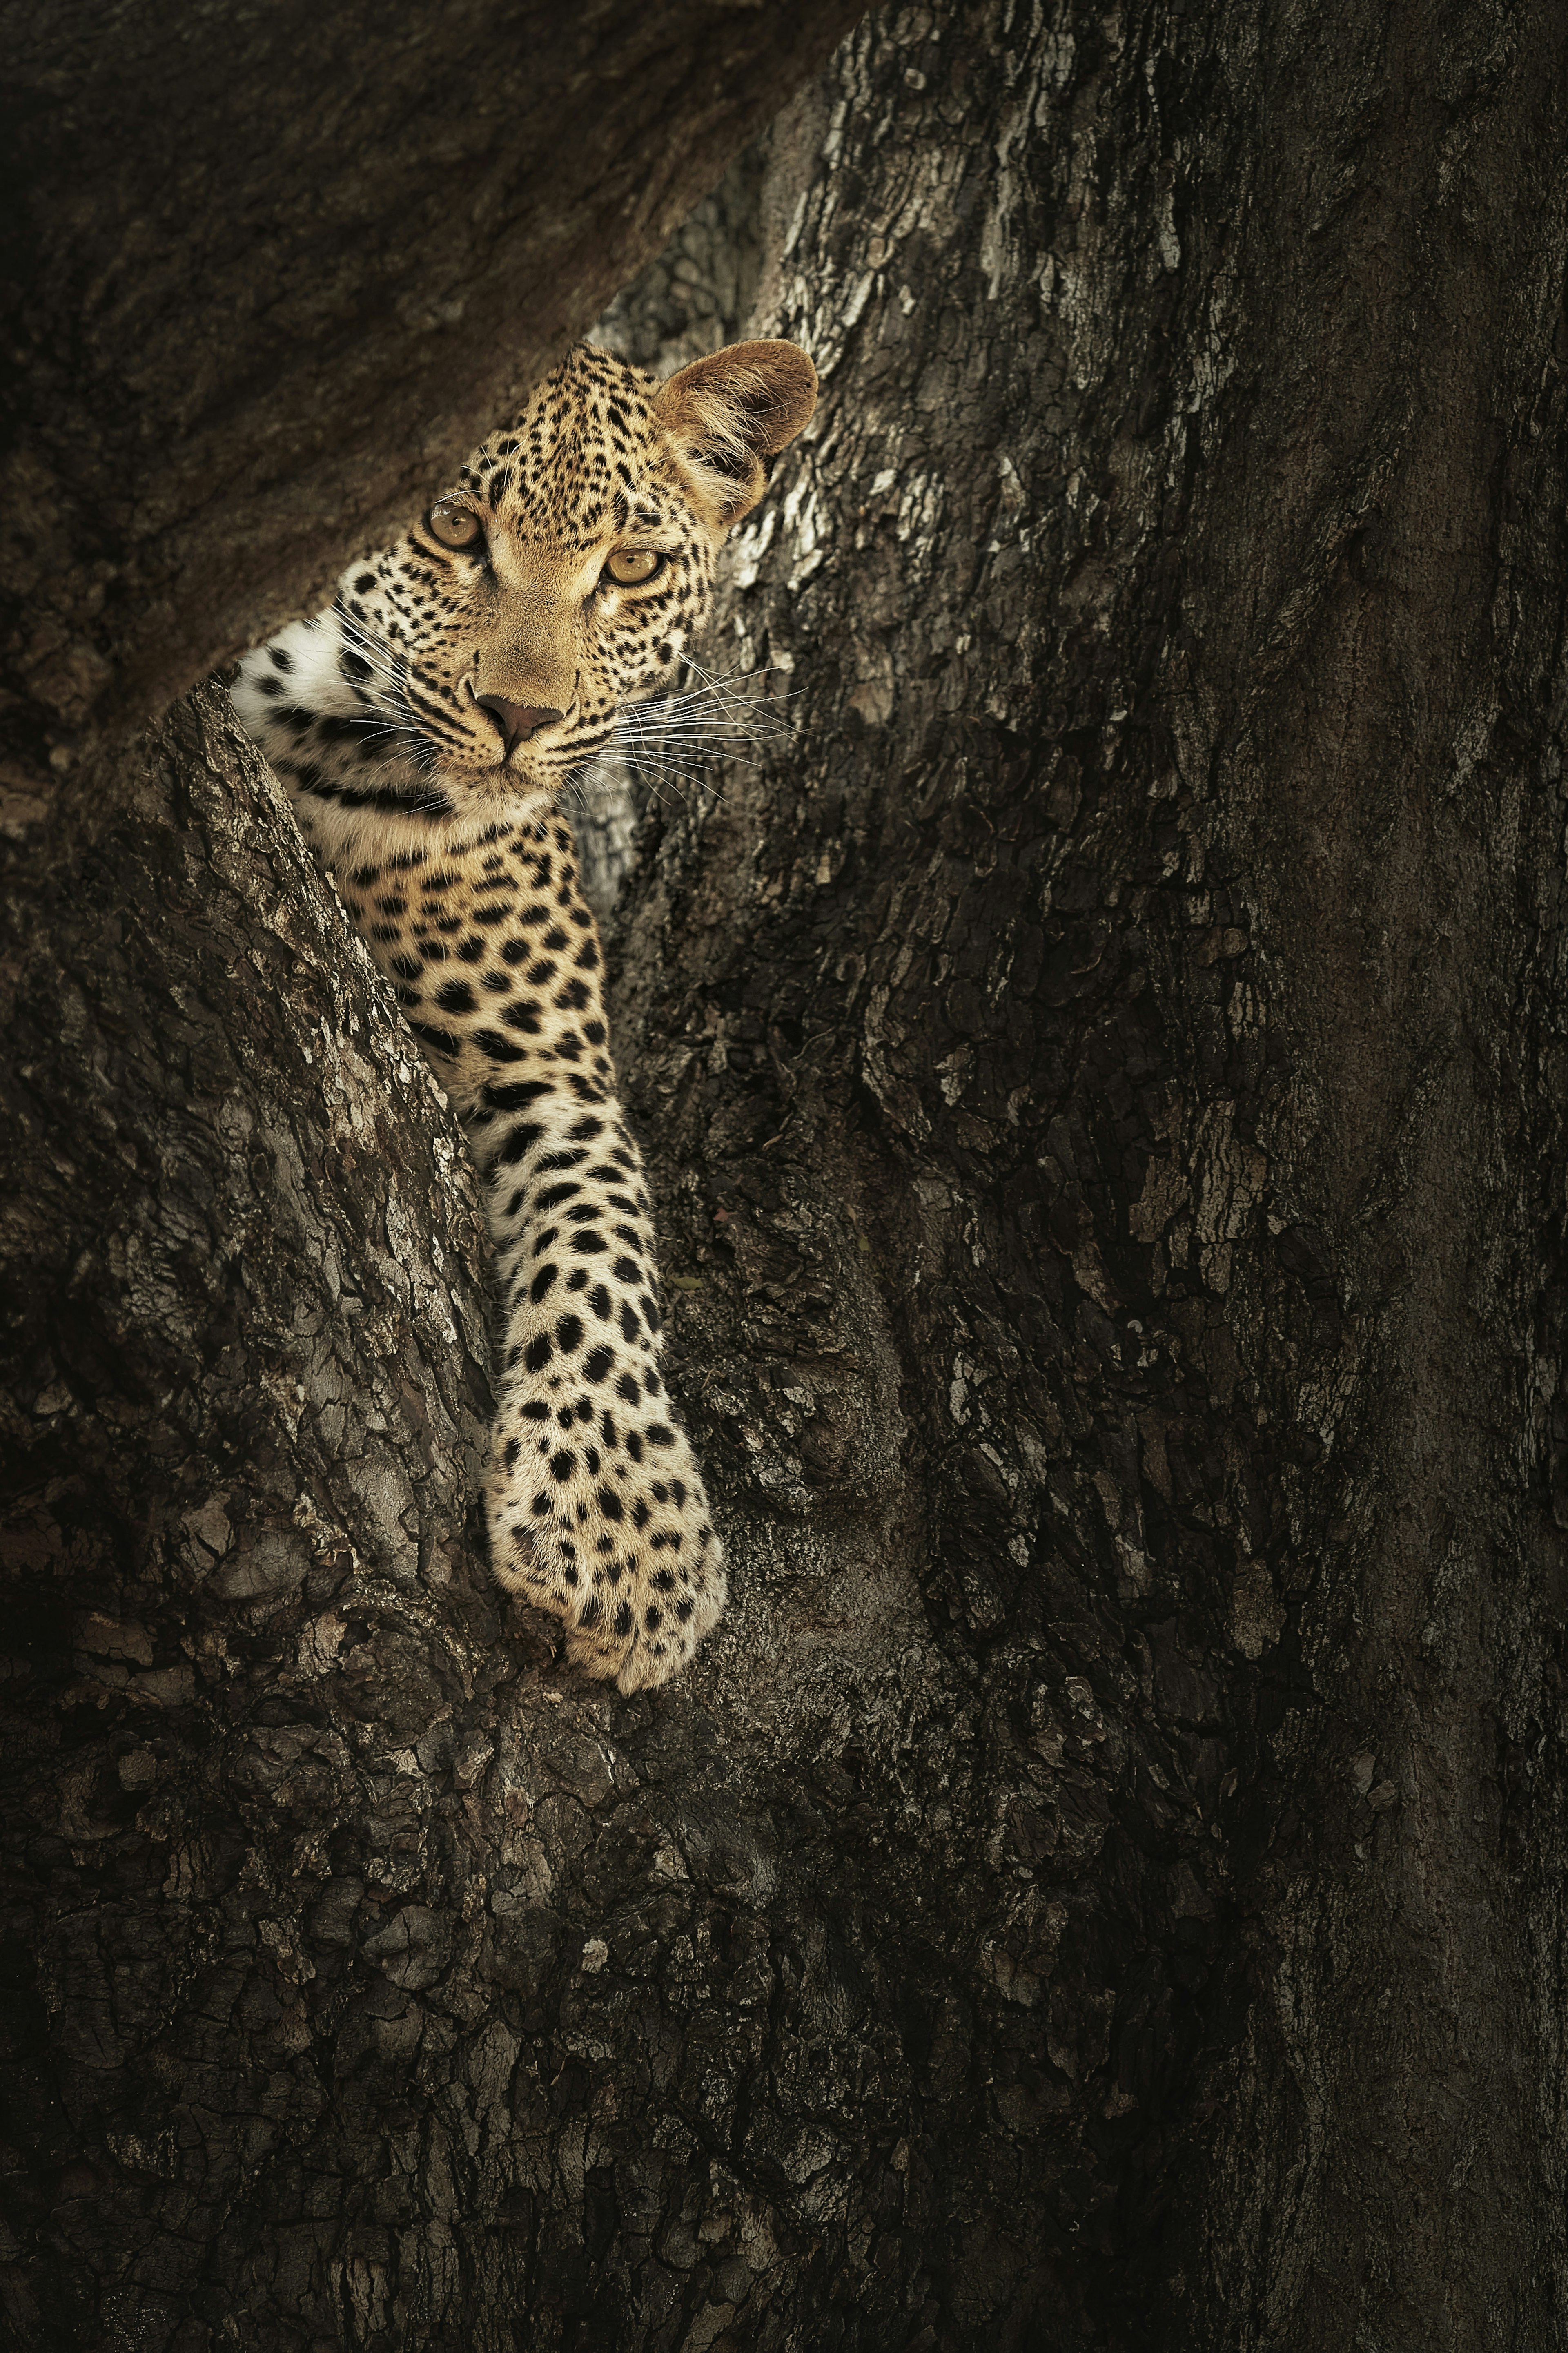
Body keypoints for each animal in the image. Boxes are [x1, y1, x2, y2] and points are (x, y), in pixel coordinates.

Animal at [237, 336, 822, 1694]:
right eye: (454, 526)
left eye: (631, 567)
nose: (519, 721)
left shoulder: (548, 1069)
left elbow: (606, 1229)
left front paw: (622, 1527)